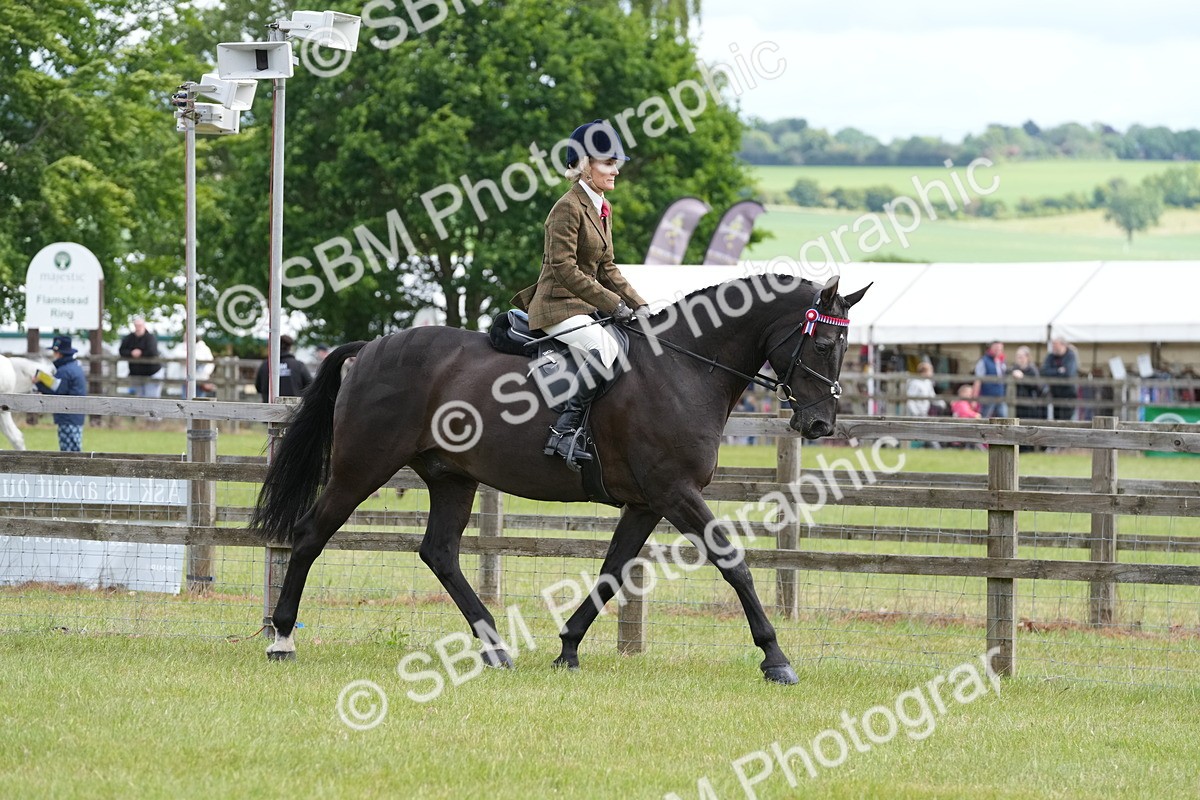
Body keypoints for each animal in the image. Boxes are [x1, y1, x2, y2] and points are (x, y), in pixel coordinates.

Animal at [251, 273, 869, 683]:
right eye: (822, 342)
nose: (820, 424)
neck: (684, 368)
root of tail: (371, 348)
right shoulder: (676, 493)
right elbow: (733, 563)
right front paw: (775, 658)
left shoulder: (647, 503)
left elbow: (611, 572)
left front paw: (568, 648)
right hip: (361, 467)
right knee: (310, 536)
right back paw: (281, 638)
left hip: (452, 477)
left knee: (440, 553)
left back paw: (495, 648)